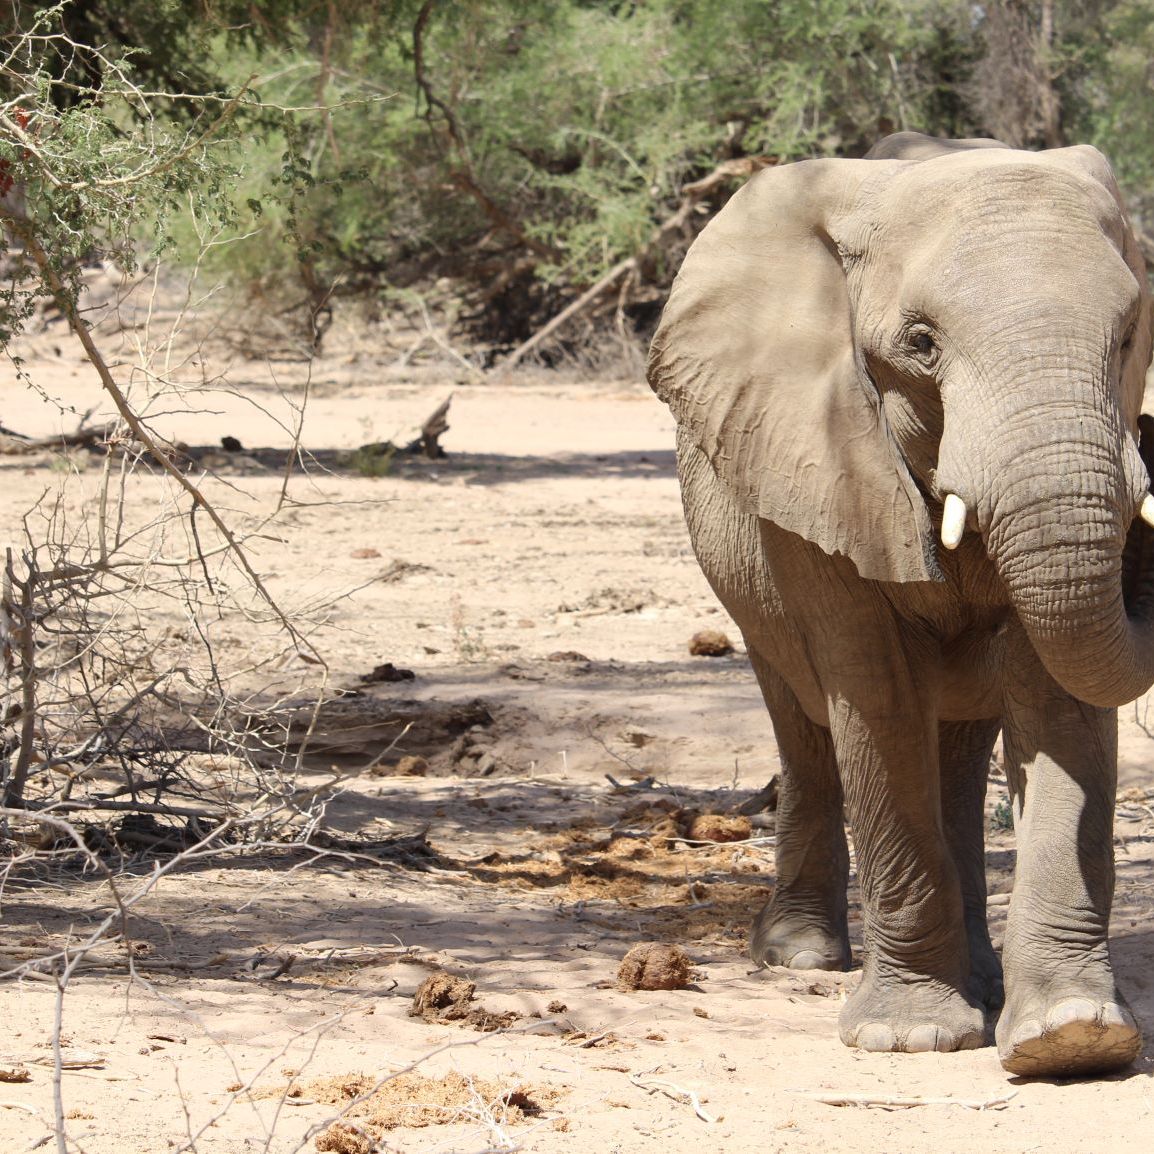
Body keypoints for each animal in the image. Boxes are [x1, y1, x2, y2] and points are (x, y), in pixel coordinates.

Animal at [646, 131, 1154, 1077]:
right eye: (920, 343)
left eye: (1132, 331)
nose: (1148, 441)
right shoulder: (820, 457)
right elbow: (874, 693)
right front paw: (912, 1037)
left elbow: (1057, 701)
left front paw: (1071, 1037)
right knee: (805, 722)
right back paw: (802, 955)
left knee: (956, 744)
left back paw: (985, 983)